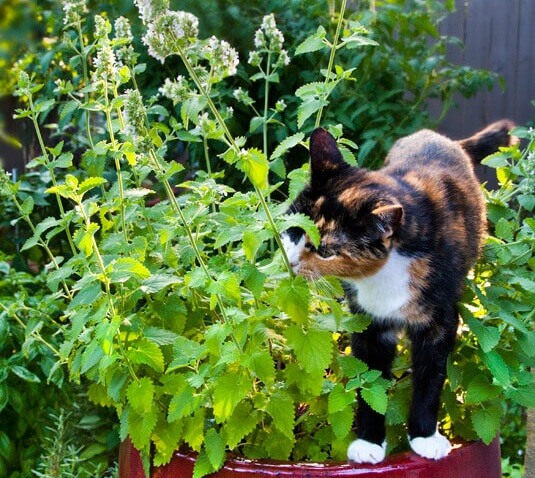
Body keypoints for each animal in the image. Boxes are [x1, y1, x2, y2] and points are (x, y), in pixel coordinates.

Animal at [282, 119, 516, 464]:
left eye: (325, 251)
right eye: (293, 229)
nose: (291, 261)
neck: (386, 272)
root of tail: (441, 138)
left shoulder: (441, 320)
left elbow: (431, 378)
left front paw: (425, 437)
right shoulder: (368, 322)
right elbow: (370, 381)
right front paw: (368, 443)